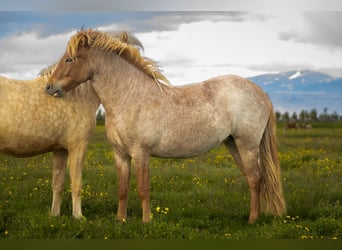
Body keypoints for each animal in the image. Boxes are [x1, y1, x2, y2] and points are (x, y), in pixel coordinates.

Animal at [0, 30, 142, 219]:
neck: (78, 94)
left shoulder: (60, 150)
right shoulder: (78, 147)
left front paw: (54, 215)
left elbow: (58, 184)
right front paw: (78, 216)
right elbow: (76, 184)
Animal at [45, 28, 286, 224]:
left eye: (69, 59)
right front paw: (120, 220)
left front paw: (146, 221)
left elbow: (143, 189)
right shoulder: (120, 154)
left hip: (247, 145)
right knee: (252, 178)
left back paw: (252, 220)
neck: (130, 96)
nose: (49, 87)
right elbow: (123, 189)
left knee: (256, 178)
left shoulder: (141, 153)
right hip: (233, 144)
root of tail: (261, 92)